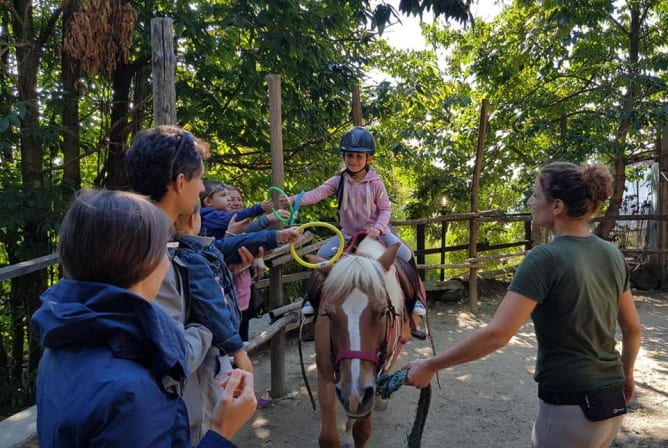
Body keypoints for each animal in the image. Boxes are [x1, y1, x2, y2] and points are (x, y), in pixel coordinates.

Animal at [310, 240, 410, 446]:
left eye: (382, 312)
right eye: (328, 314)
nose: (354, 392)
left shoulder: (370, 383)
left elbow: (362, 431)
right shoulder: (325, 373)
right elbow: (328, 438)